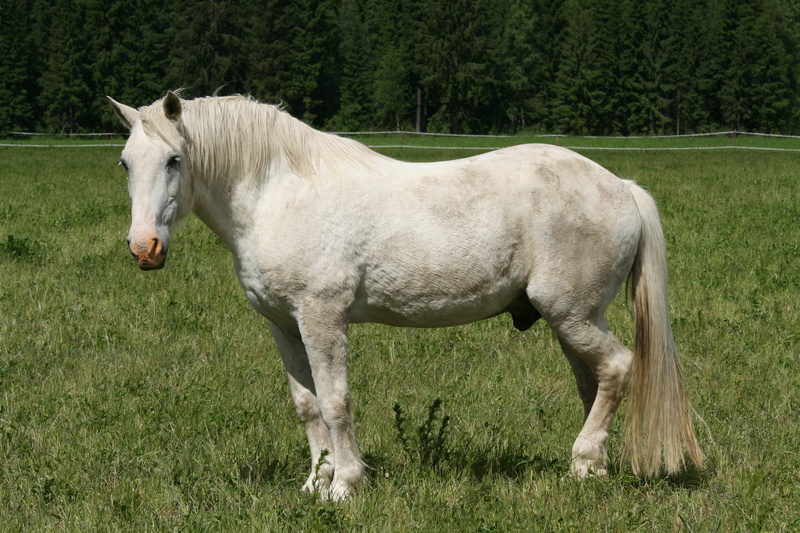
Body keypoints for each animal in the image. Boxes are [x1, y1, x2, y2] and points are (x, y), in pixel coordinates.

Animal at [108, 91, 704, 501]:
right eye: (125, 163)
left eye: (174, 161)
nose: (144, 248)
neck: (279, 193)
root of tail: (622, 187)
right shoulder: (285, 324)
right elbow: (308, 406)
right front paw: (316, 481)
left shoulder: (322, 318)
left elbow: (336, 401)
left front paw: (345, 484)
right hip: (573, 321)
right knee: (594, 381)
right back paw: (592, 466)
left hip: (573, 315)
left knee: (619, 368)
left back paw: (585, 457)